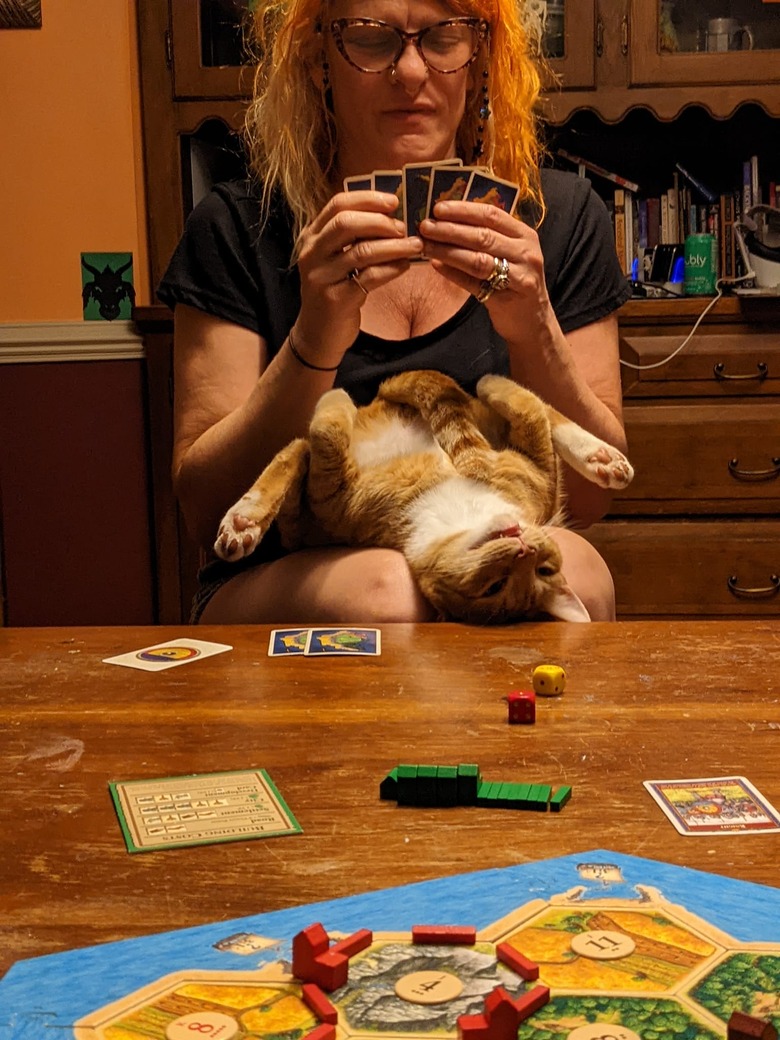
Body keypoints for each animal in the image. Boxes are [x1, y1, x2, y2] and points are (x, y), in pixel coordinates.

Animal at [215, 372, 636, 619]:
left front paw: (336, 398)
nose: (523, 547)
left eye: (495, 588)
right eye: (544, 569)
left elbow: (327, 429)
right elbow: (529, 408)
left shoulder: (329, 491)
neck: (457, 507)